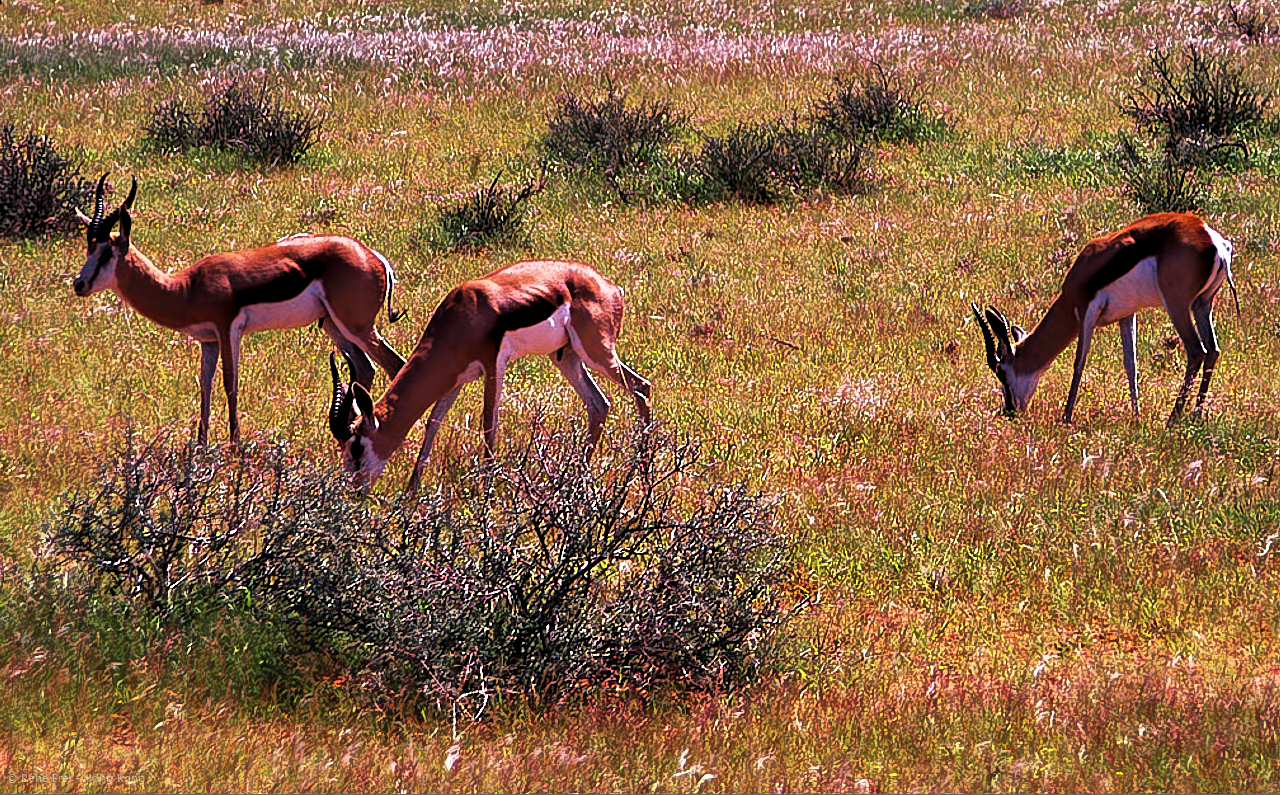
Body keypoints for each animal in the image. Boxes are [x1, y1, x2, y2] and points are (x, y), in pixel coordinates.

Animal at [76, 174, 404, 442]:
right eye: (89, 248)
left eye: (106, 252)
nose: (79, 284)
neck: (186, 288)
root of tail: (373, 256)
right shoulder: (207, 341)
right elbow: (205, 385)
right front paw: (201, 446)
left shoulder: (227, 330)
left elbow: (229, 383)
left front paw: (235, 446)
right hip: (333, 325)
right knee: (366, 368)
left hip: (357, 326)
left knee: (394, 364)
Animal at [330, 258, 655, 489]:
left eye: (357, 447)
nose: (355, 490)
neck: (464, 313)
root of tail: (609, 286)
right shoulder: (454, 378)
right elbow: (434, 422)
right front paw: (411, 491)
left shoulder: (493, 364)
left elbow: (489, 422)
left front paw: (485, 491)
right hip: (567, 357)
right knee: (599, 403)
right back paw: (577, 478)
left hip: (598, 352)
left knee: (642, 387)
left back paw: (643, 471)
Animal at [972, 211, 1233, 422]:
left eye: (1001, 371)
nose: (1009, 411)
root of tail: (1213, 241)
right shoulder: (1127, 314)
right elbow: (1131, 364)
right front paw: (1136, 418)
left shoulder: (1086, 311)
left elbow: (1079, 362)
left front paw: (1066, 418)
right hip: (1202, 304)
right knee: (1213, 351)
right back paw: (1195, 416)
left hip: (1177, 305)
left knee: (1197, 351)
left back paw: (1172, 421)